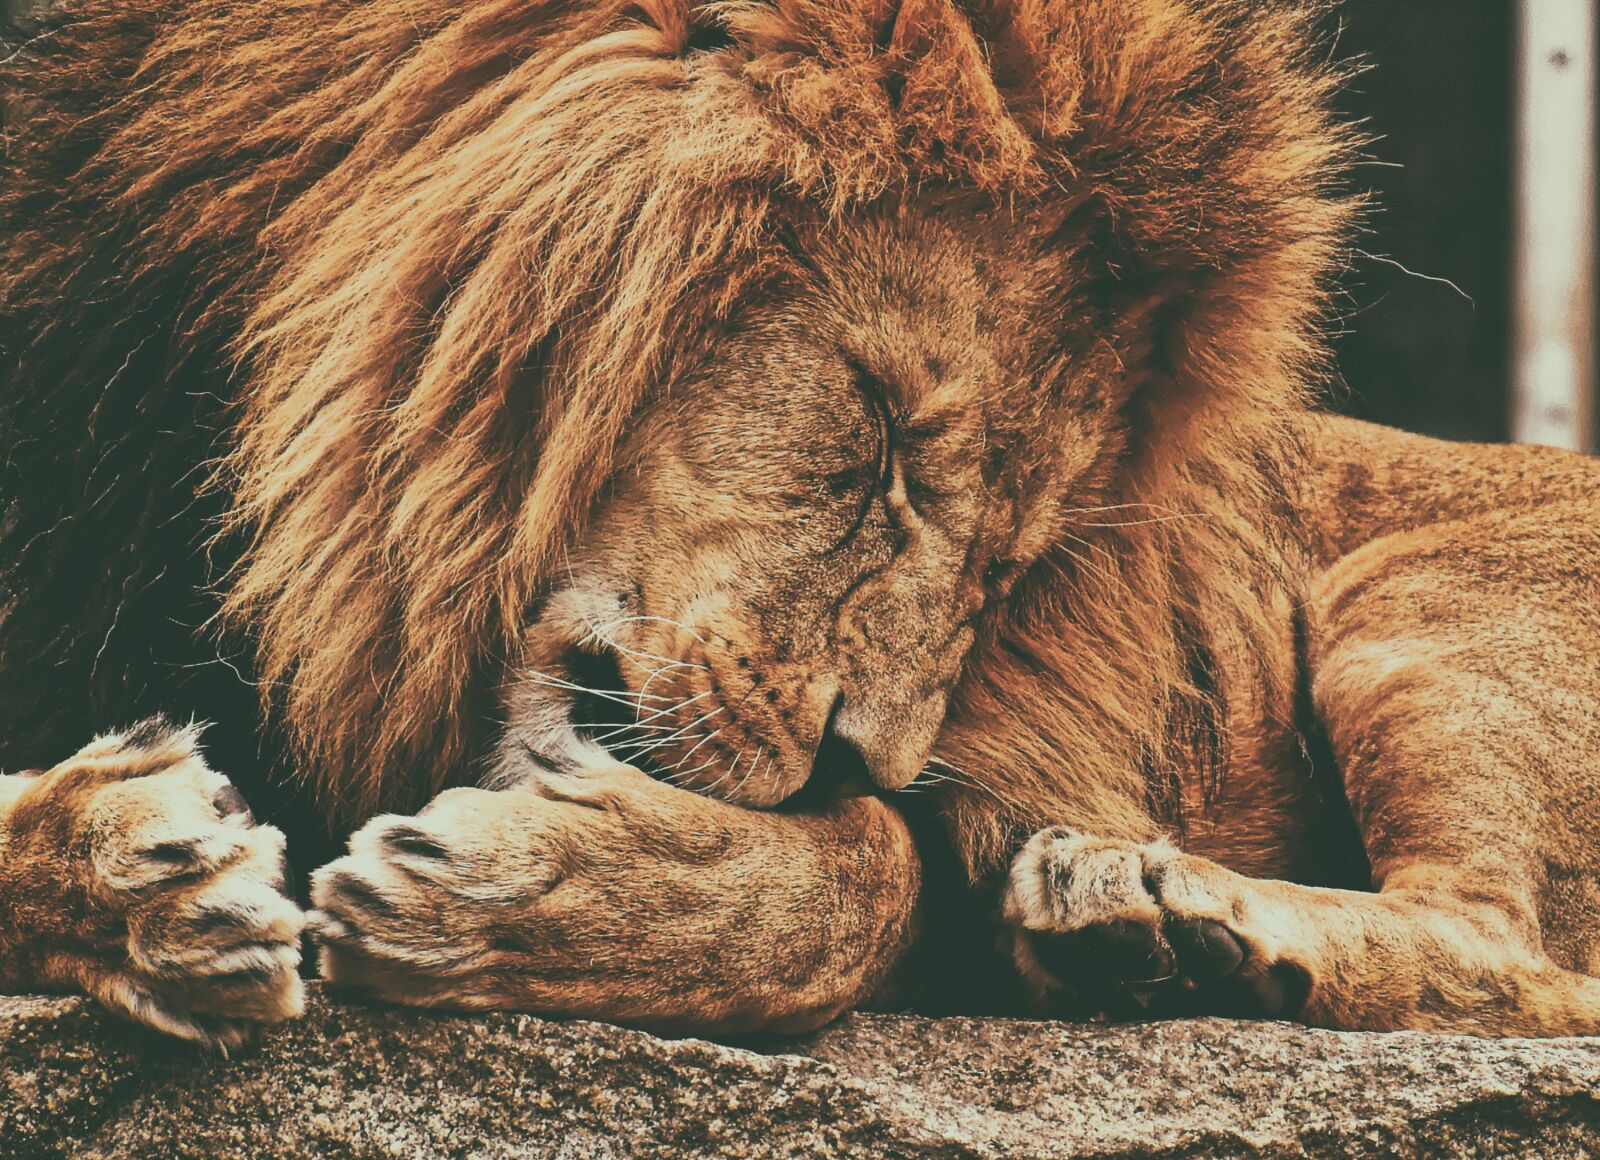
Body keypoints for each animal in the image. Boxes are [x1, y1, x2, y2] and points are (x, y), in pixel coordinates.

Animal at [2, 0, 1598, 1051]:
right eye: (881, 438)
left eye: (1013, 555)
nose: (857, 754)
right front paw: (141, 870)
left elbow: (871, 878)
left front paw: (502, 895)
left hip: (1421, 614)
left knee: (1522, 960)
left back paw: (1174, 921)